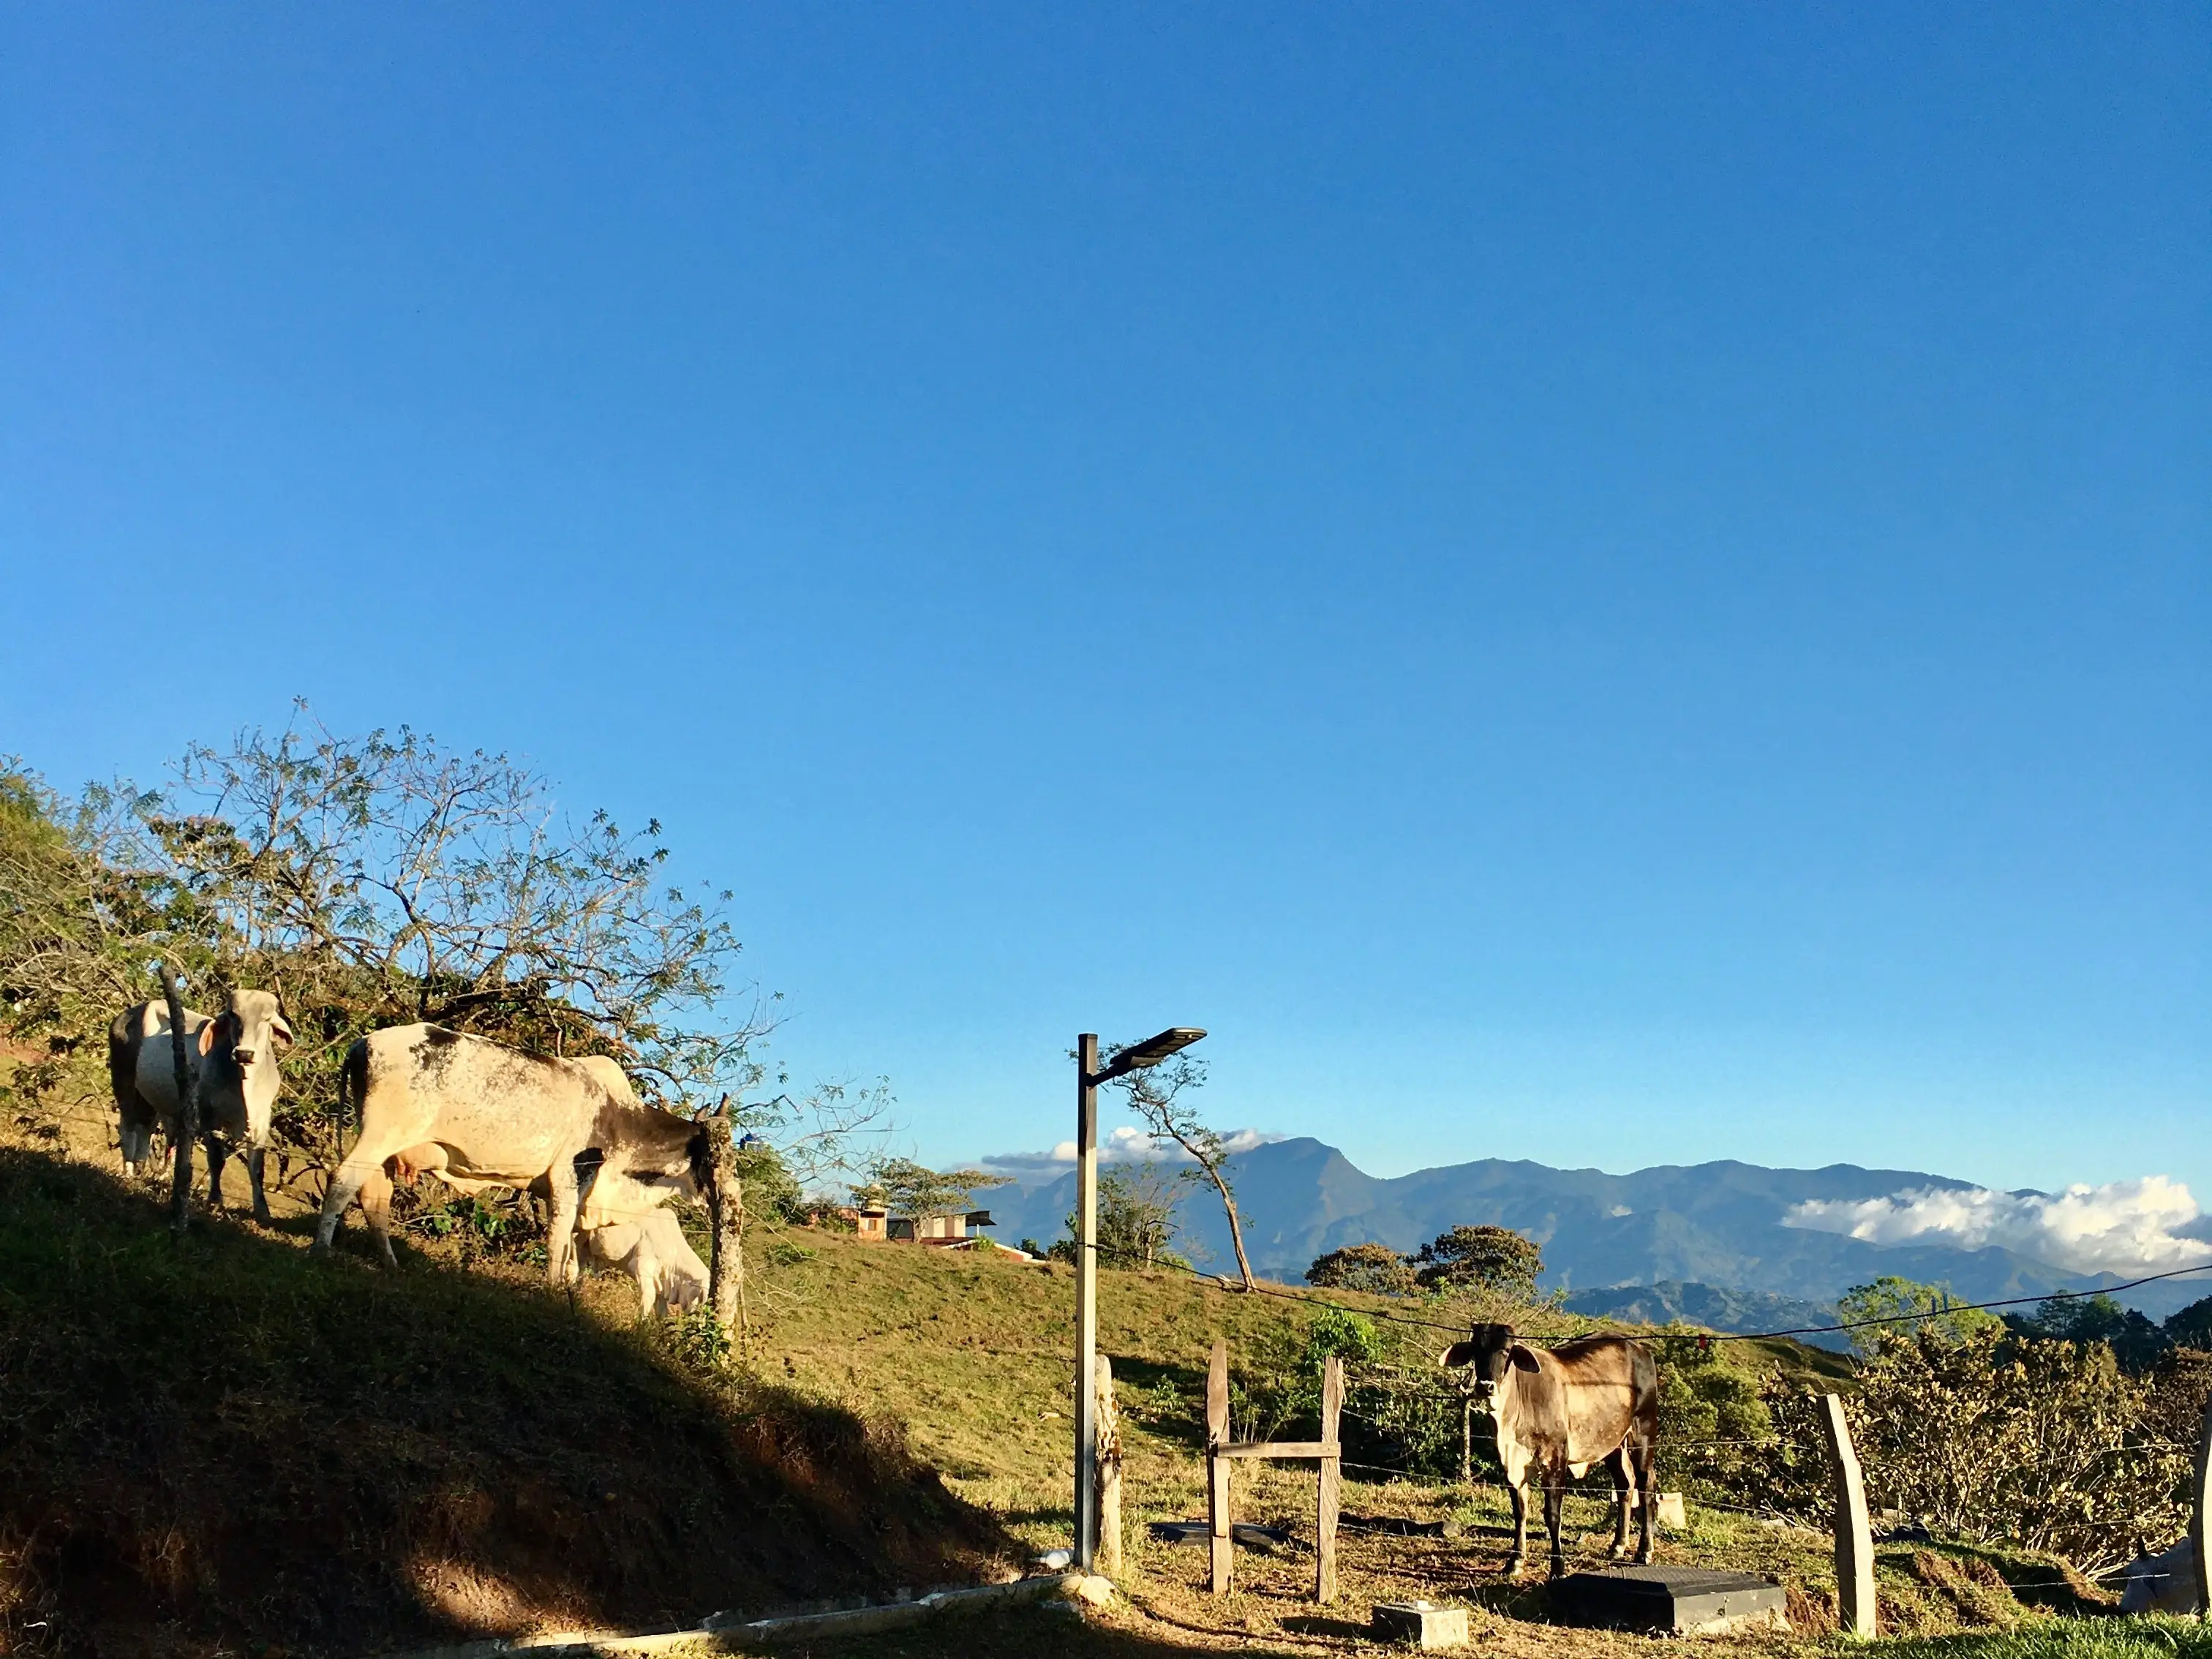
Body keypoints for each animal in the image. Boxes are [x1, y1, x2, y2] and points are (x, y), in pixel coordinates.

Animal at [107, 989, 294, 1223]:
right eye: (233, 1016)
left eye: (266, 1019)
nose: (244, 1054)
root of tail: (128, 1013)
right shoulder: (208, 1116)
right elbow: (216, 1159)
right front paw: (215, 1200)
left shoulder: (262, 1121)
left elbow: (257, 1168)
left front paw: (262, 1211)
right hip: (124, 1083)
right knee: (128, 1129)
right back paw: (129, 1173)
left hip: (149, 1099)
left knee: (145, 1130)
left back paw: (141, 1171)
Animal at [313, 1023, 705, 1285]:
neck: (620, 1116)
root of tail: (364, 1042)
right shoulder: (568, 1180)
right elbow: (558, 1242)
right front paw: (552, 1291)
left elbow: (573, 1253)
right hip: (381, 1135)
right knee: (342, 1181)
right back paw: (321, 1250)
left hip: (385, 1149)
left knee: (374, 1199)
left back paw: (390, 1263)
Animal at [1440, 1322, 1660, 1580]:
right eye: (1476, 1350)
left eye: (1506, 1350)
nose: (1485, 1386)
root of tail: (1640, 1348)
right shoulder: (1511, 1466)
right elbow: (1520, 1512)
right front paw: (1515, 1561)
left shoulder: (1556, 1461)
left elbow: (1552, 1515)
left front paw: (1558, 1567)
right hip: (1613, 1443)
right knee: (1625, 1484)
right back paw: (1618, 1546)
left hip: (1642, 1432)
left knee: (1646, 1485)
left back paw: (1644, 1551)